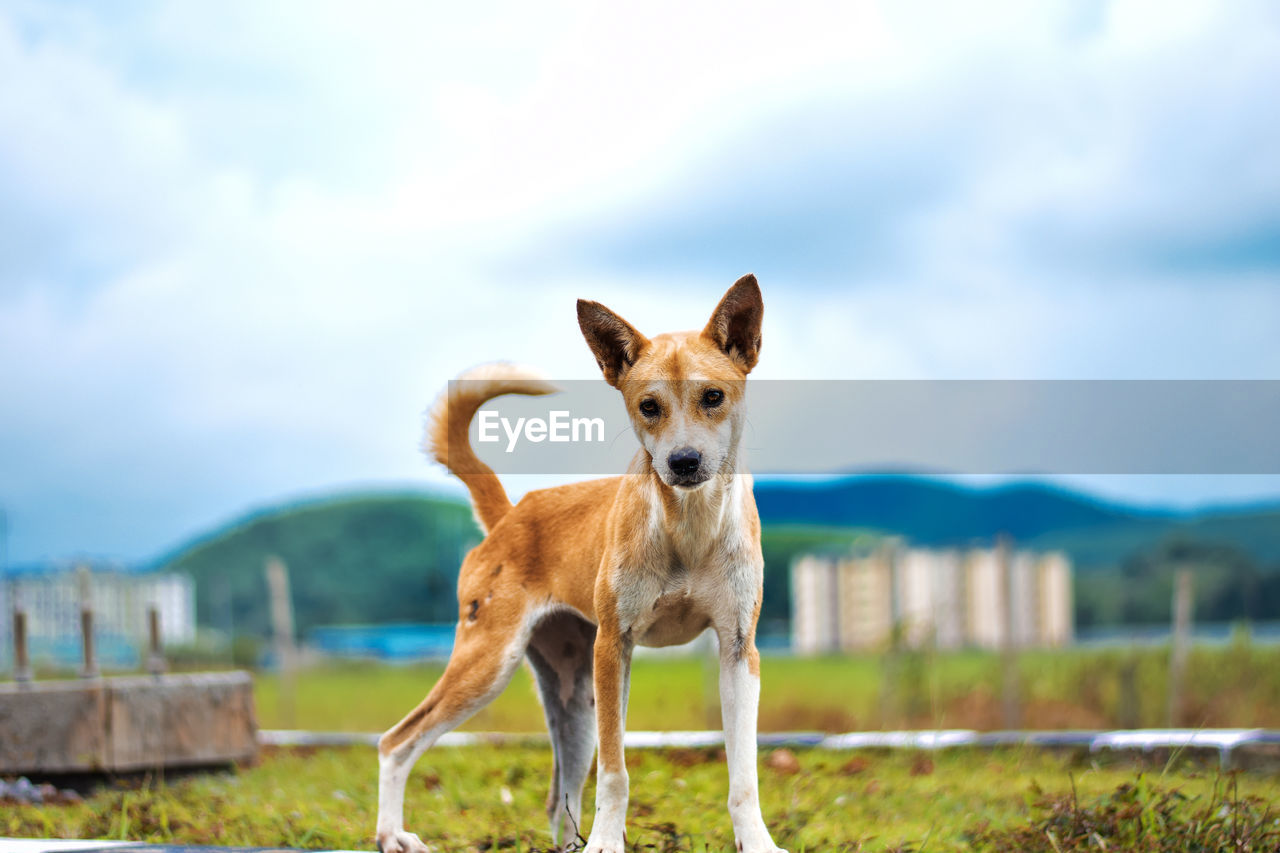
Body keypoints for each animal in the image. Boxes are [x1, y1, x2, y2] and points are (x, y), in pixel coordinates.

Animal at [373, 274, 783, 850]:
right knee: (397, 740)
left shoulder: (738, 649)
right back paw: (393, 835)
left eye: (714, 396)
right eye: (648, 405)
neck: (687, 527)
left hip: (572, 695)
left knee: (557, 796)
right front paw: (608, 842)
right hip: (490, 662)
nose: (683, 462)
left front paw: (759, 842)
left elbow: (743, 775)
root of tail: (509, 515)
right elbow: (615, 772)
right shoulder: (614, 646)